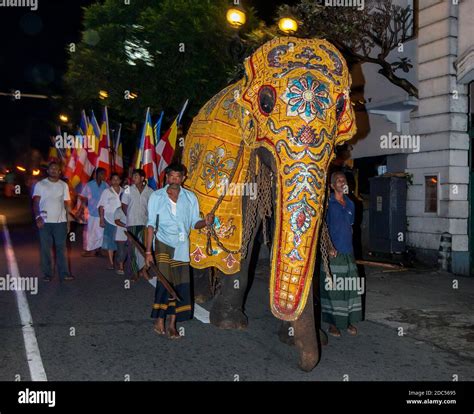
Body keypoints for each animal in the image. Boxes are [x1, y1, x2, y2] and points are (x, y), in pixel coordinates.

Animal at [181, 36, 356, 372]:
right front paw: (230, 325)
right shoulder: (242, 155)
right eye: (264, 101)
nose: (306, 365)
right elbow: (245, 237)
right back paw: (200, 300)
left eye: (340, 107)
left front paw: (298, 337)